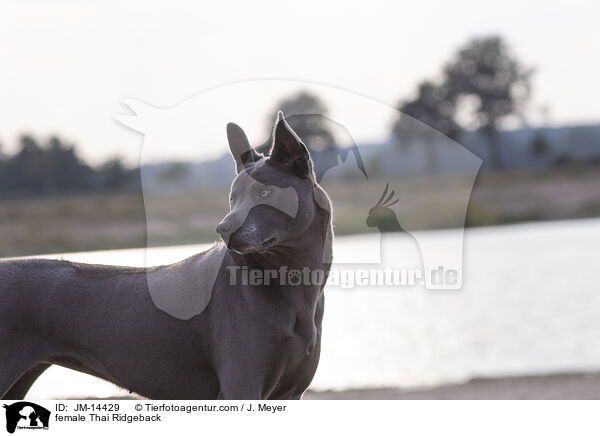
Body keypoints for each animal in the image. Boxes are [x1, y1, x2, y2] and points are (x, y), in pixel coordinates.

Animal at [0, 112, 332, 398]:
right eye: (233, 198)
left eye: (265, 194)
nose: (223, 229)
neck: (292, 283)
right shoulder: (242, 386)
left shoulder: (290, 393)